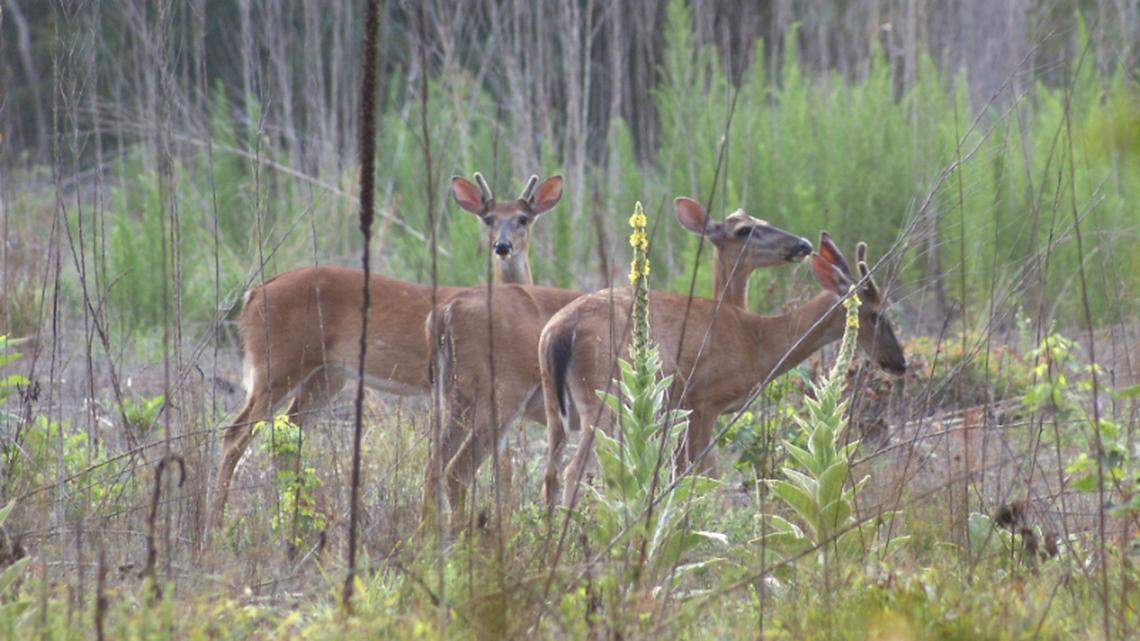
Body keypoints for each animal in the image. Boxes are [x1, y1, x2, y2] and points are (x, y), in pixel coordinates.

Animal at [210, 173, 563, 528]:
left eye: (523, 218)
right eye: (488, 218)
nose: (502, 246)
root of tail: (253, 295)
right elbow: (498, 464)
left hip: (326, 374)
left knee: (288, 434)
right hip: (277, 363)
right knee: (235, 434)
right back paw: (217, 521)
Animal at [422, 197, 814, 529]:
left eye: (765, 221)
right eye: (744, 230)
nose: (804, 244)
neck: (733, 315)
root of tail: (445, 313)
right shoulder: (695, 404)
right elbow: (700, 472)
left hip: (477, 398)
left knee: (446, 463)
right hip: (545, 397)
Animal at [540, 233, 907, 508]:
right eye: (876, 313)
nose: (899, 362)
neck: (757, 342)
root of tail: (560, 331)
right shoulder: (704, 399)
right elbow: (707, 474)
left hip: (553, 401)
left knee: (551, 472)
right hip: (601, 395)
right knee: (575, 470)